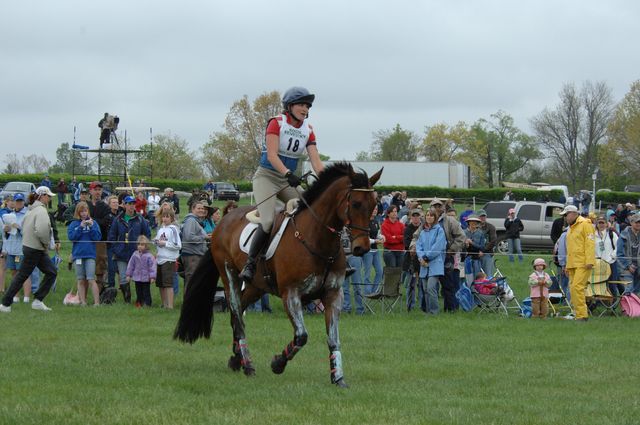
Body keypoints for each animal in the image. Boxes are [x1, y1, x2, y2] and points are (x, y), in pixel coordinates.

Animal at [174, 161, 380, 386]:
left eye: (374, 204)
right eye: (356, 204)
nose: (362, 248)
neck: (317, 239)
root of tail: (223, 222)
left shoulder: (333, 294)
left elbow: (333, 338)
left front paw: (338, 378)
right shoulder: (291, 293)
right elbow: (301, 336)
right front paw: (277, 364)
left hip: (256, 287)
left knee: (237, 315)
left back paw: (236, 359)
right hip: (230, 277)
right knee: (237, 314)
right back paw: (248, 365)